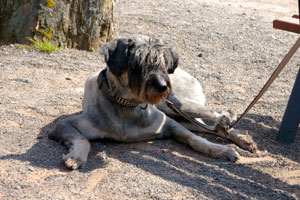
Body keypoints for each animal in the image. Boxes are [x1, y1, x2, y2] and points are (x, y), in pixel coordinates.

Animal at [48, 35, 256, 169]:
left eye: (163, 62)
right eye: (137, 63)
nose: (162, 86)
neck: (127, 105)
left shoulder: (169, 124)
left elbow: (195, 139)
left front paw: (218, 149)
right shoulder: (65, 125)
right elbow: (83, 140)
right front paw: (76, 156)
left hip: (175, 105)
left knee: (213, 117)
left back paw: (228, 122)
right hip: (177, 111)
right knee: (207, 127)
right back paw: (240, 137)